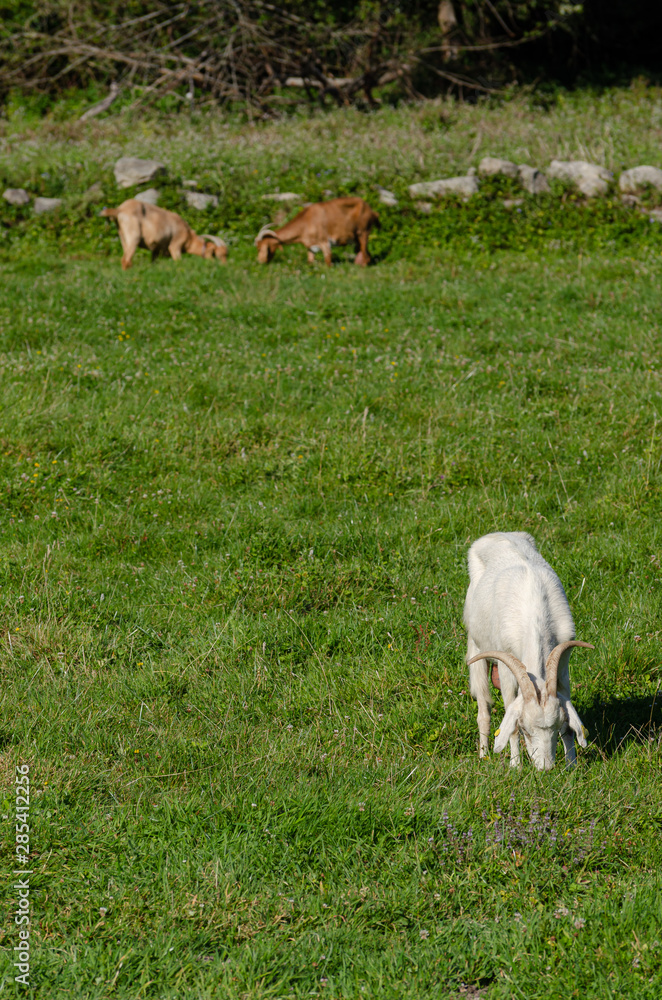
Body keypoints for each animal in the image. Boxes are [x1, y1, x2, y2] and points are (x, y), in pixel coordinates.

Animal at [463, 531, 593, 770]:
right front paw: (516, 765)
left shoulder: (563, 663)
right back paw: (483, 754)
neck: (536, 614)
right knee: (483, 709)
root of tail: (498, 534)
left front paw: (571, 765)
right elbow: (509, 720)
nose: (545, 767)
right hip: (476, 645)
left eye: (556, 725)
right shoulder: (506, 667)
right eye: (525, 728)